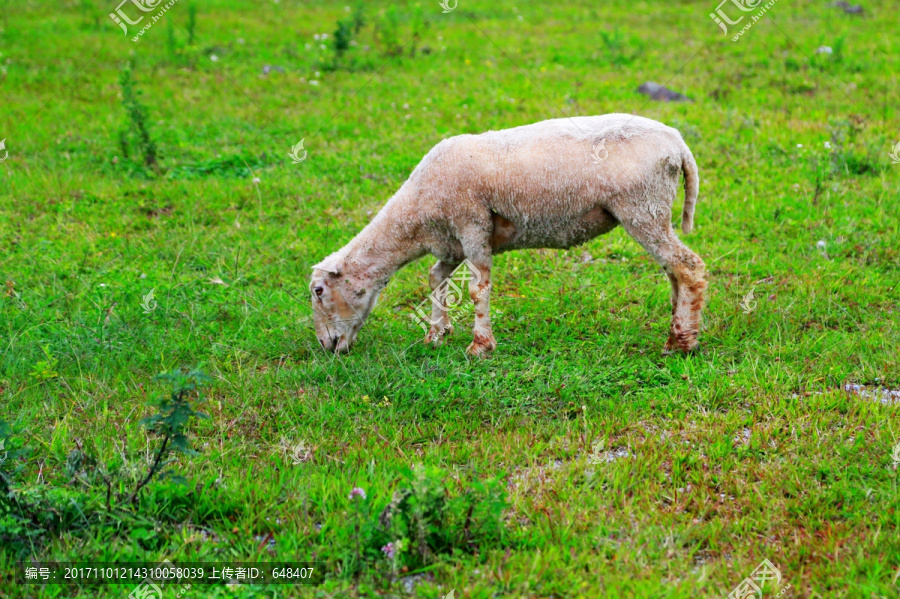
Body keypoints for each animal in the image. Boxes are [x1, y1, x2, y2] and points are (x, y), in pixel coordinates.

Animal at [312, 113, 708, 356]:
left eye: (318, 291)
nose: (326, 346)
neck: (415, 216)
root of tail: (678, 144)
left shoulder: (472, 224)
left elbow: (477, 289)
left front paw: (480, 346)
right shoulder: (451, 243)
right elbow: (435, 278)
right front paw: (436, 334)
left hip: (642, 206)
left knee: (689, 268)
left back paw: (682, 343)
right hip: (653, 211)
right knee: (673, 270)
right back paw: (676, 331)